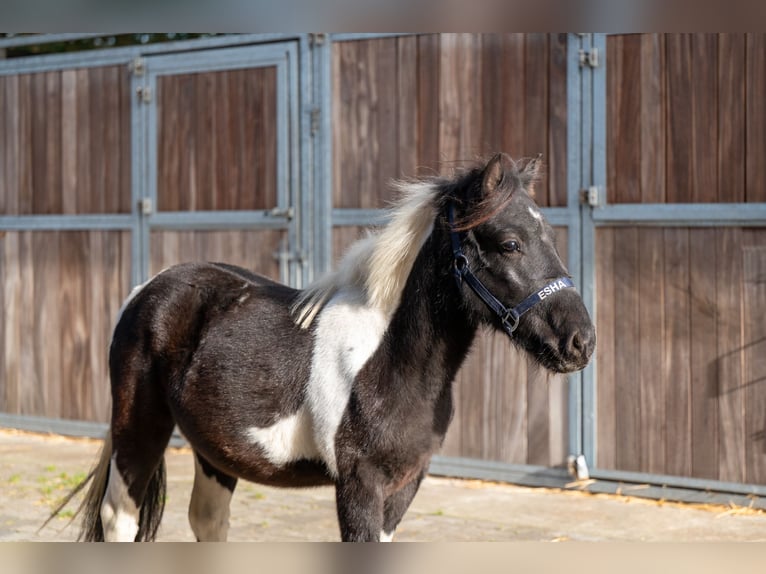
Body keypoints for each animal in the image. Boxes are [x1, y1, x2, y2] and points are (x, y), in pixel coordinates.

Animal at [48, 152, 595, 542]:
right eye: (509, 243)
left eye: (550, 238)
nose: (581, 342)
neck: (391, 360)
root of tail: (147, 289)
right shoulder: (359, 486)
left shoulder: (403, 487)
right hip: (139, 426)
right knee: (120, 517)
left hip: (213, 450)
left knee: (206, 520)